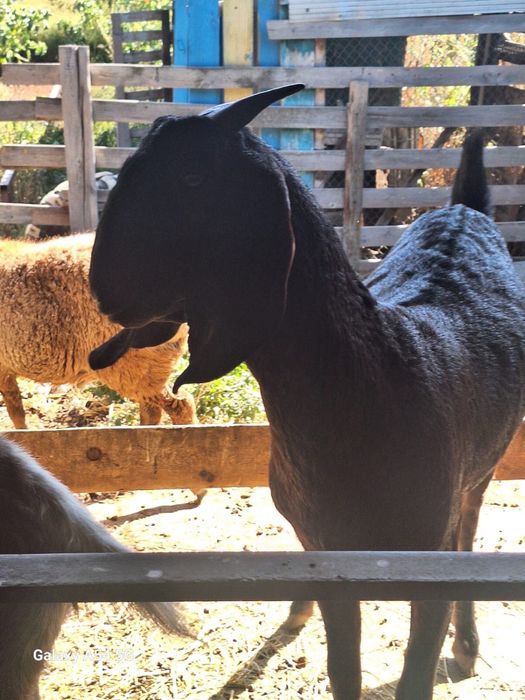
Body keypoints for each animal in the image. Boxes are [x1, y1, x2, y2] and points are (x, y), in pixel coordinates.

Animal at [88, 86, 525, 699]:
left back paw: (465, 646)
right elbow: (343, 668)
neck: (377, 376)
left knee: (470, 522)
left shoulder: (426, 561)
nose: (103, 289)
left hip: (481, 469)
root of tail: (463, 210)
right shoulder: (331, 554)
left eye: (194, 175)